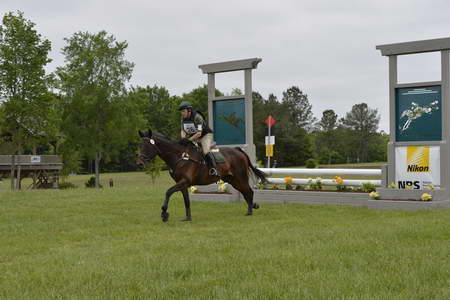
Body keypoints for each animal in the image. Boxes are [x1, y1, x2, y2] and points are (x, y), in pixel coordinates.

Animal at [135, 129, 266, 223]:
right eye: (139, 146)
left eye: (147, 146)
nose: (140, 164)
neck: (179, 156)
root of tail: (238, 150)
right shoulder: (182, 183)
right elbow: (186, 201)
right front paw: (187, 218)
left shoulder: (184, 181)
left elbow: (168, 192)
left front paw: (164, 214)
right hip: (232, 179)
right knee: (245, 192)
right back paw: (252, 207)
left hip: (240, 176)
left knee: (249, 191)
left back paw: (250, 211)